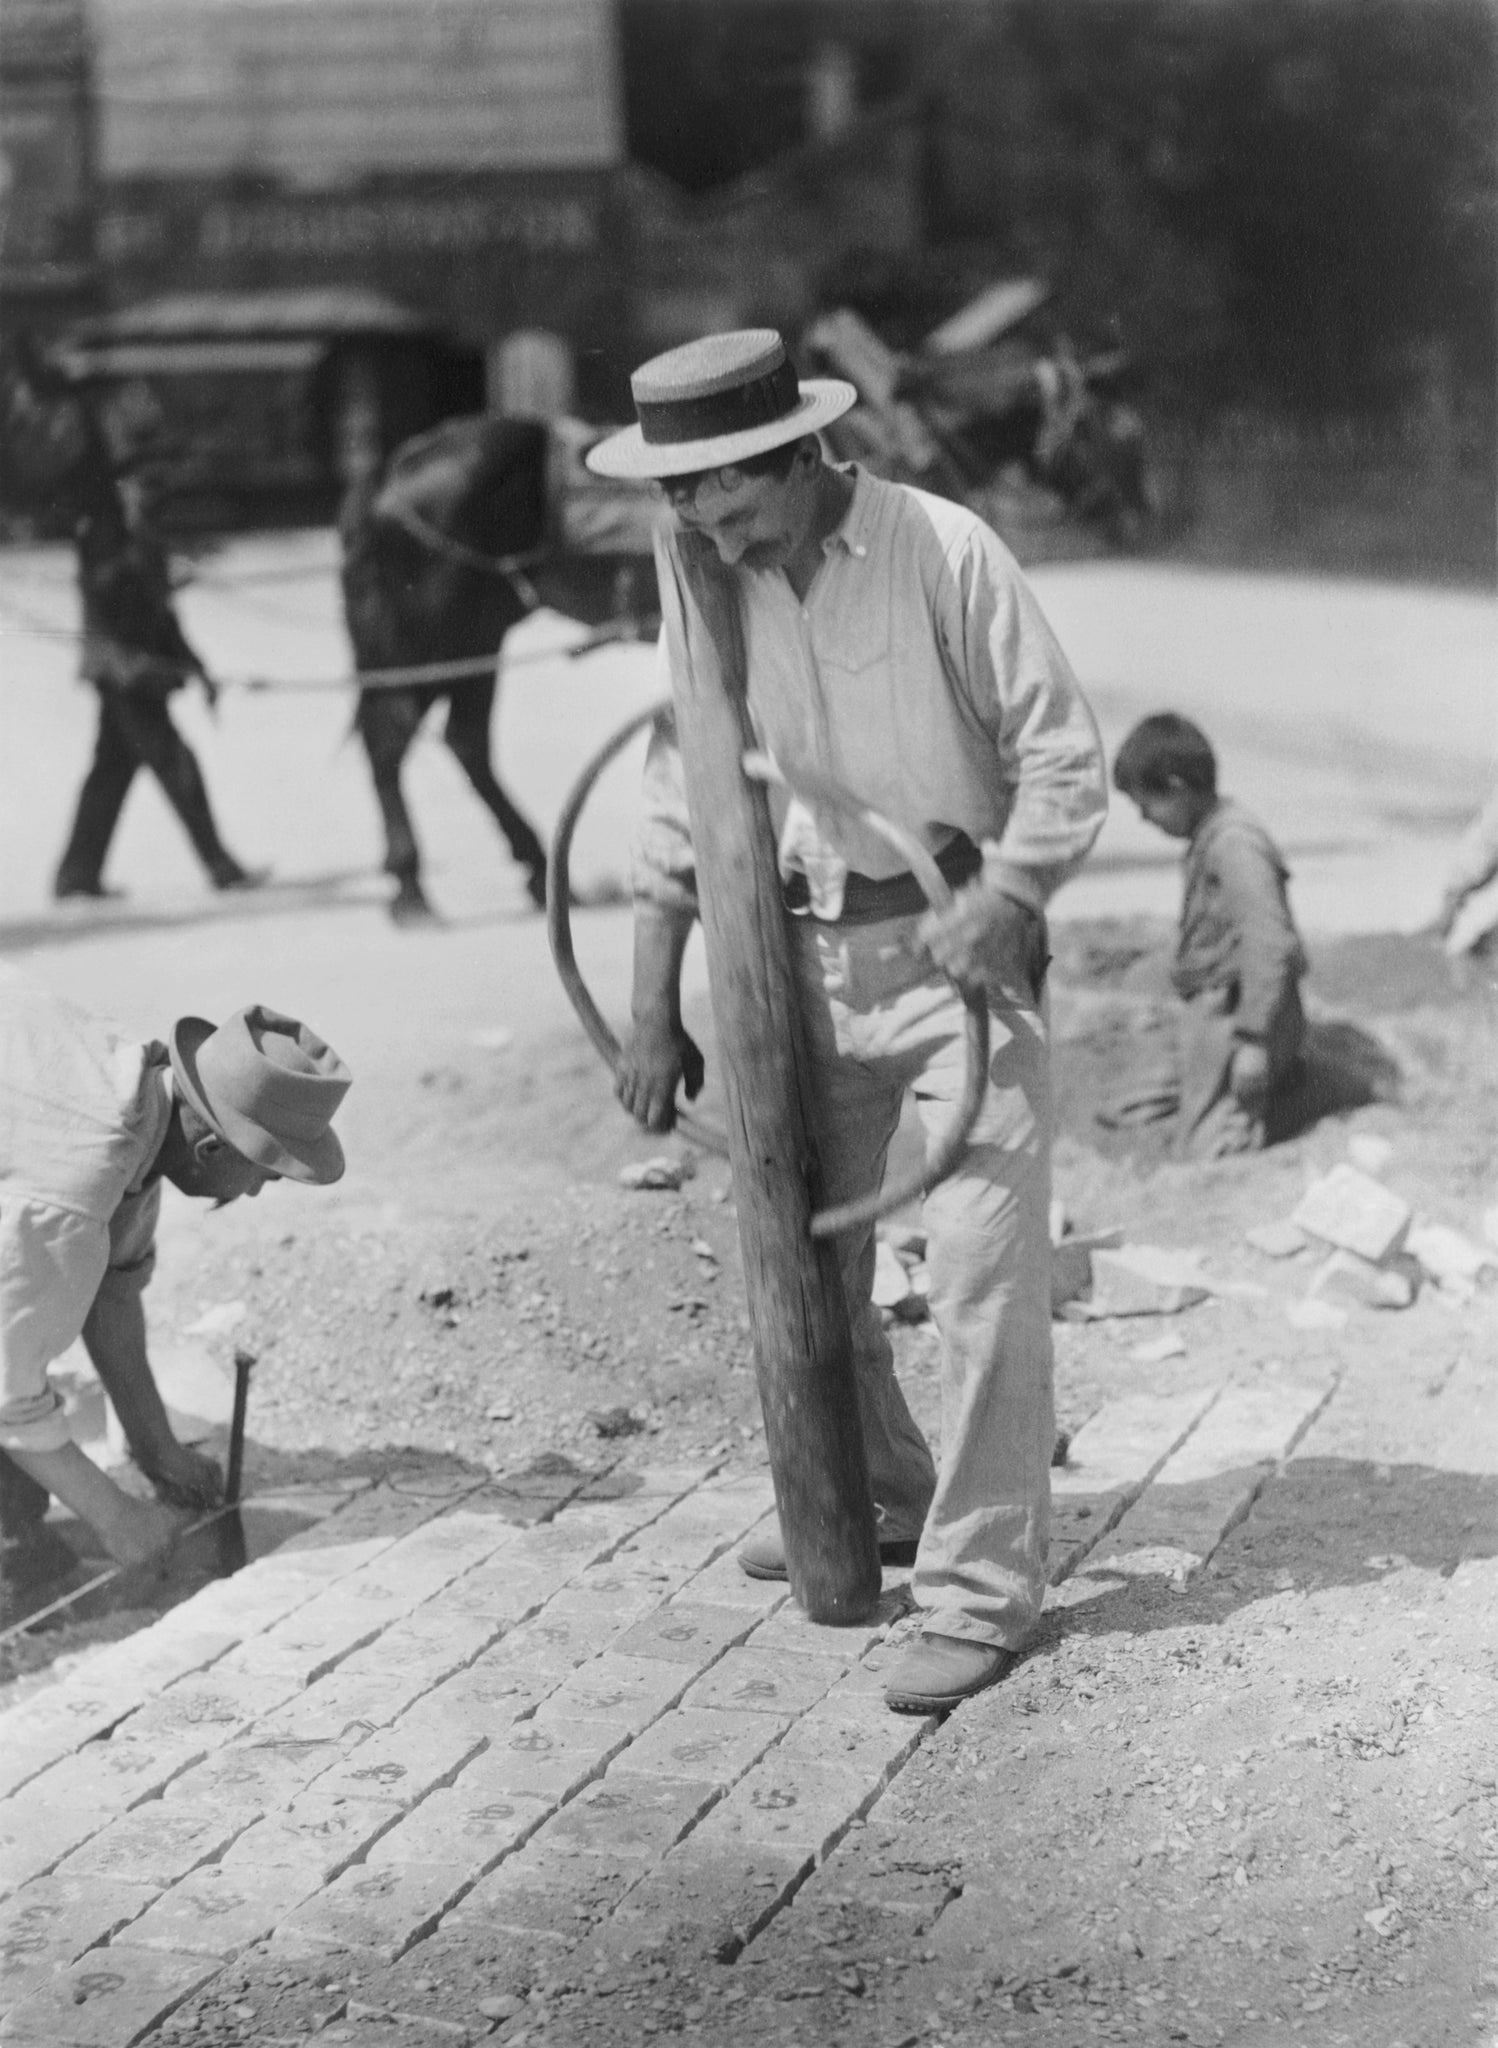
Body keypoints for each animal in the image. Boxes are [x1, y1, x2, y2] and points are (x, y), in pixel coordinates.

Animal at [346, 411, 663, 925]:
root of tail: (393, 472)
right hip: (430, 640)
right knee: (392, 737)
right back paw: (412, 888)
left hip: (475, 637)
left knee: (463, 740)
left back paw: (535, 868)